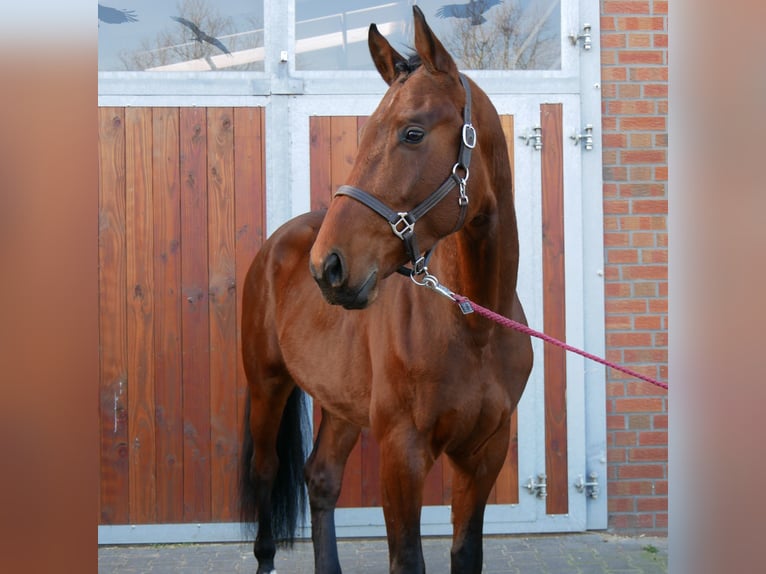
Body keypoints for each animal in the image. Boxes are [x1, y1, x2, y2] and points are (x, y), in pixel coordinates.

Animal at [240, 5, 536, 574]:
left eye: (412, 133)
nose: (328, 266)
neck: (472, 326)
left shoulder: (483, 455)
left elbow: (466, 552)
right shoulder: (403, 454)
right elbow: (407, 560)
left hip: (339, 404)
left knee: (321, 478)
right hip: (267, 385)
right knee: (266, 473)